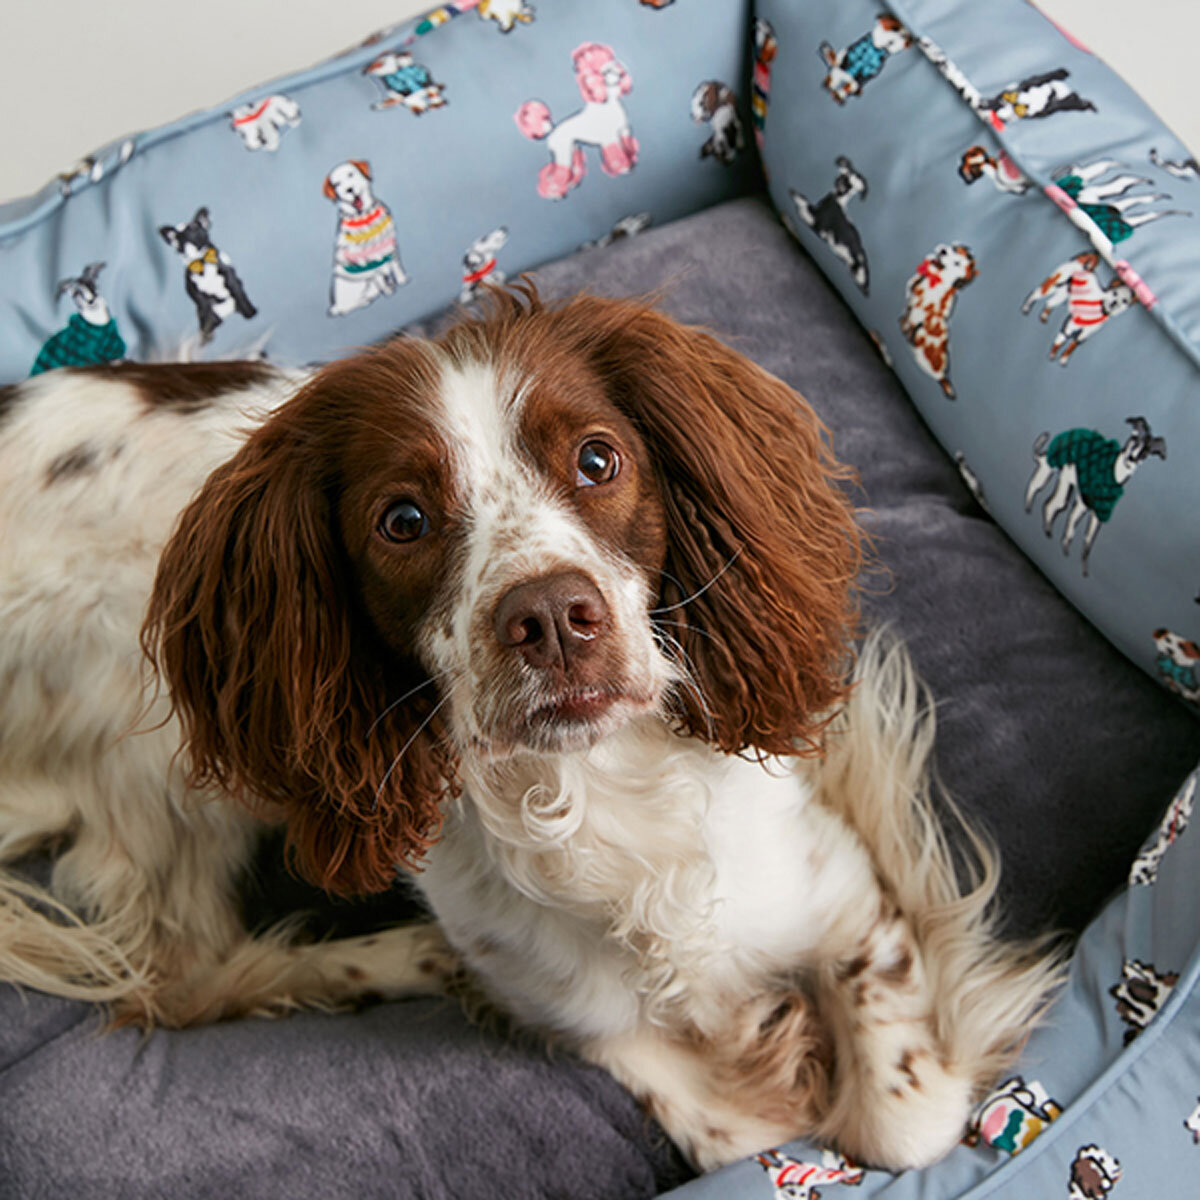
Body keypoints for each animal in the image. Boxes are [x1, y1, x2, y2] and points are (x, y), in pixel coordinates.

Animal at [0, 288, 1060, 1171]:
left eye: (597, 459)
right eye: (402, 519)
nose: (550, 615)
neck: (598, 790)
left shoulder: (835, 893)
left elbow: (903, 1124)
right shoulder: (593, 1025)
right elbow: (737, 1130)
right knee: (180, 976)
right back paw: (403, 960)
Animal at [321, 162, 410, 316]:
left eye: (350, 174)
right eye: (336, 184)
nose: (349, 190)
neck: (365, 216)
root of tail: (336, 305)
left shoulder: (392, 248)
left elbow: (396, 267)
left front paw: (402, 280)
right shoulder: (370, 263)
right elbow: (379, 278)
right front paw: (389, 291)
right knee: (348, 308)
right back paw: (366, 301)